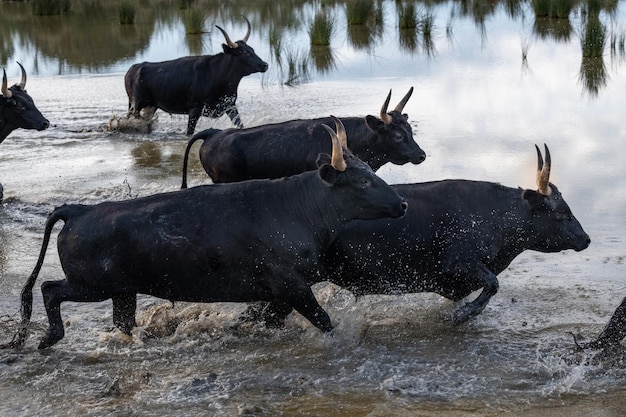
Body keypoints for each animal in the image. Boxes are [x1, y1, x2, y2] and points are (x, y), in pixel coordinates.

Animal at [123, 15, 266, 133]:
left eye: (252, 50)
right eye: (244, 53)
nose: (265, 64)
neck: (219, 77)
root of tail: (132, 69)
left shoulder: (230, 106)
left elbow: (240, 125)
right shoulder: (194, 110)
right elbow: (189, 132)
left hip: (150, 106)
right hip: (137, 104)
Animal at [246, 145, 588, 326]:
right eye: (561, 212)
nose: (586, 239)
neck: (492, 216)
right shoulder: (458, 262)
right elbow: (492, 284)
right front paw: (463, 315)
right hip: (290, 287)